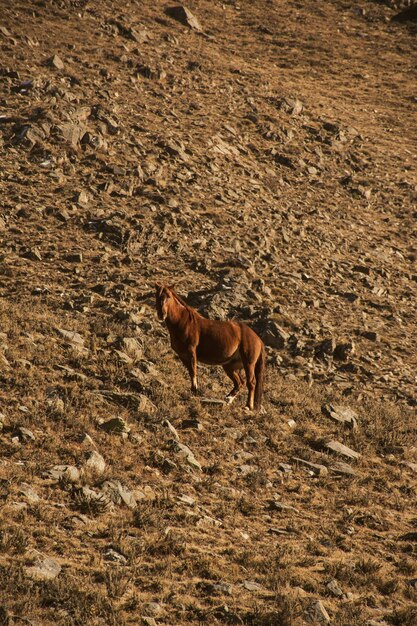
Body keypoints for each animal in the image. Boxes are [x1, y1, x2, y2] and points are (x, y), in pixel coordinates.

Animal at [154, 282, 264, 410]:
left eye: (169, 296)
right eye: (157, 296)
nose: (161, 314)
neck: (182, 322)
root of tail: (258, 339)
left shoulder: (191, 352)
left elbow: (193, 371)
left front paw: (195, 390)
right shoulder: (182, 355)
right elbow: (190, 371)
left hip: (248, 363)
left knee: (251, 382)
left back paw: (248, 406)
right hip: (230, 366)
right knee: (239, 383)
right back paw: (228, 399)